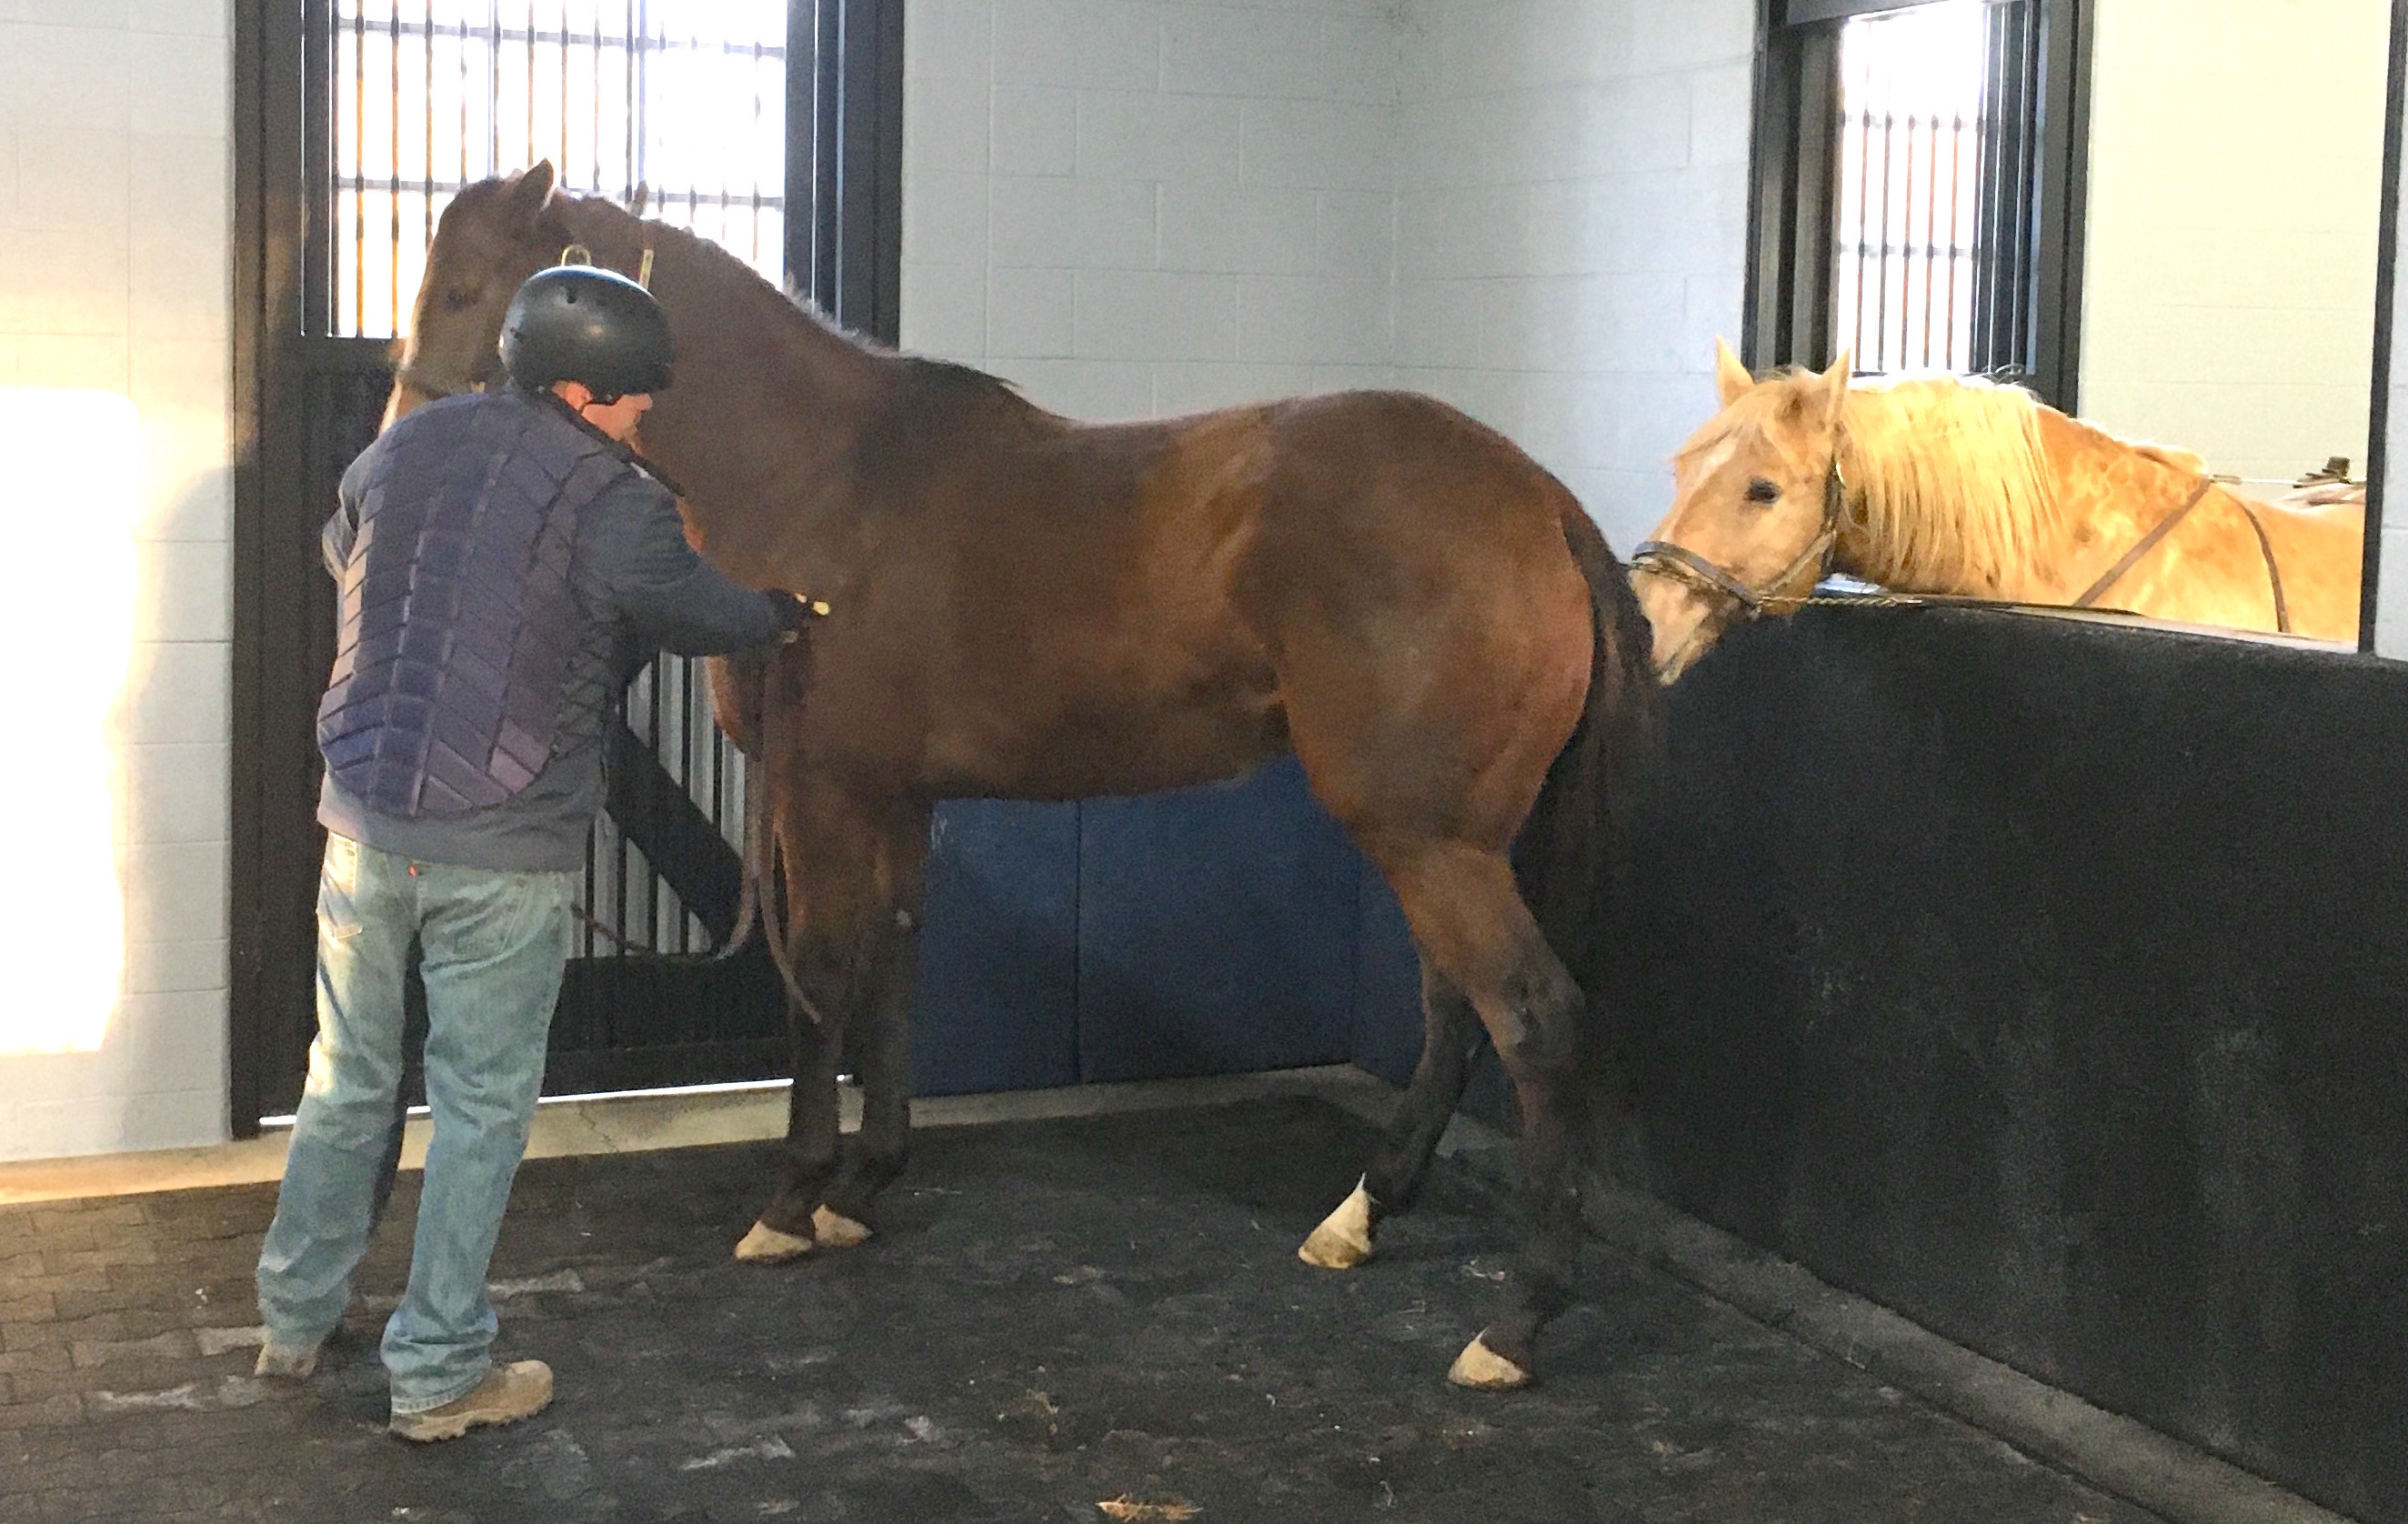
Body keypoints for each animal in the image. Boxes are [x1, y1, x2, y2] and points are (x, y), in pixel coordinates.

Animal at [385, 160, 1656, 1387]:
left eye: (466, 293)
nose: (399, 451)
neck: (822, 483)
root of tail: (1536, 498)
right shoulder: (896, 799)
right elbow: (895, 963)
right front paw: (863, 1187)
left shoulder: (821, 791)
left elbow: (823, 975)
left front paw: (792, 1201)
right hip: (1446, 836)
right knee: (1453, 1010)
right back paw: (1362, 1214)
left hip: (1425, 836)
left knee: (1530, 1016)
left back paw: (1516, 1321)